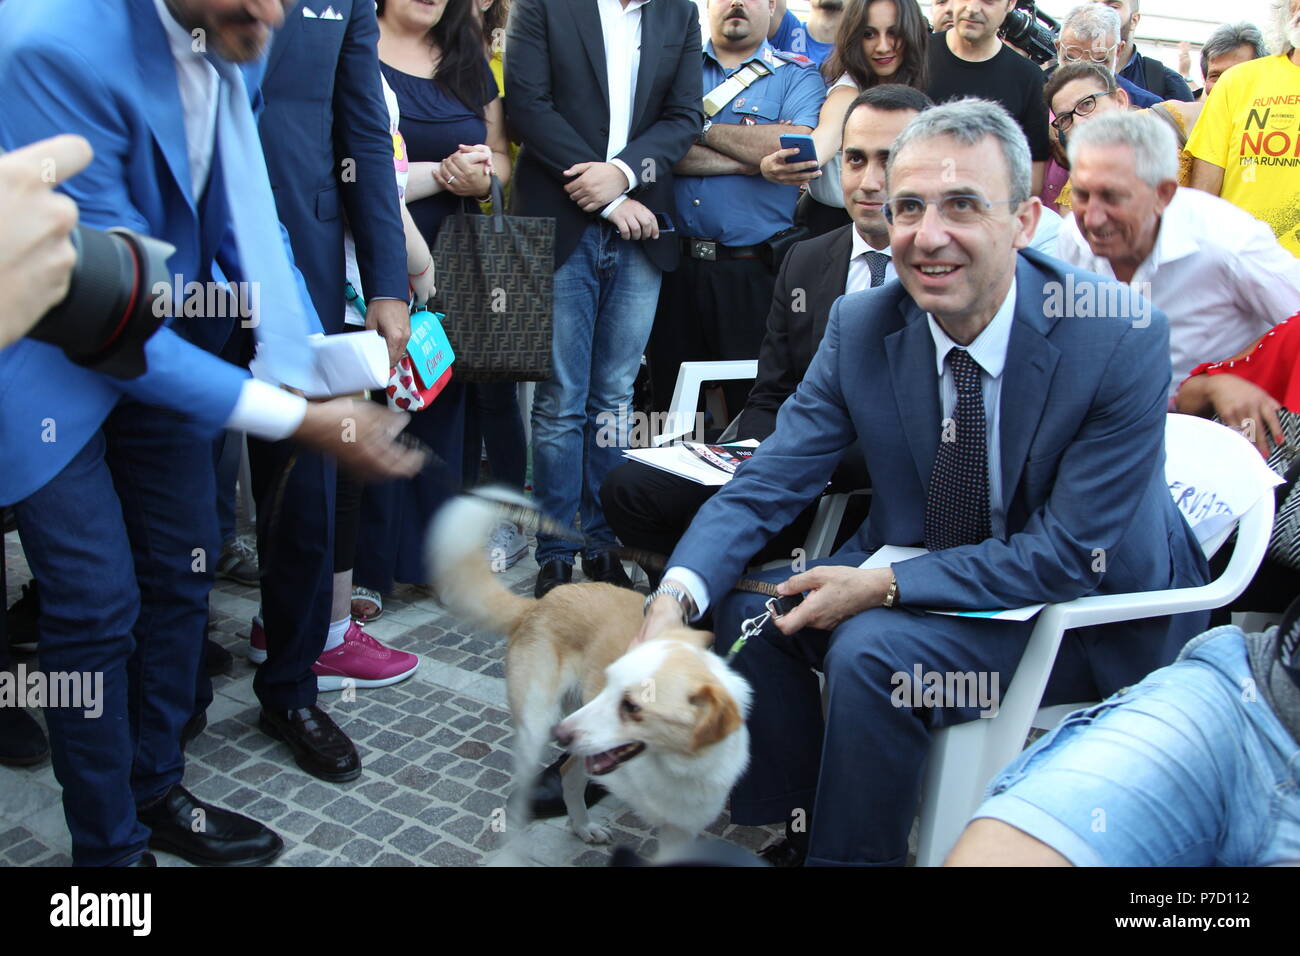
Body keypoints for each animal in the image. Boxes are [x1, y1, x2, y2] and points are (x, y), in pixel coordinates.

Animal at [426, 496, 754, 858]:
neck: (674, 763)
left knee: (569, 773)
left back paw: (581, 826)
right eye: (608, 684)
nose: (562, 735)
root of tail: (540, 603)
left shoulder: (679, 831)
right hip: (537, 725)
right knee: (546, 783)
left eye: (633, 706)